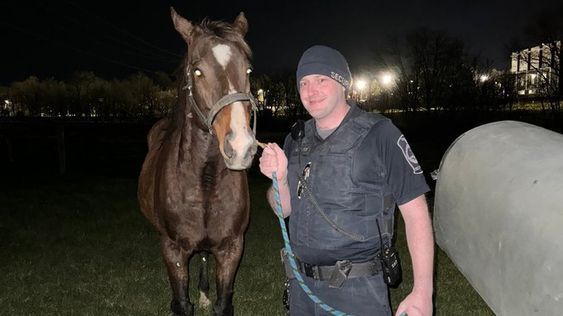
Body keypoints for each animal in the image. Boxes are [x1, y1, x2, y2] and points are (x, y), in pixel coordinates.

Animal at [139, 8, 258, 316]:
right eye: (197, 70)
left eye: (248, 70)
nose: (241, 147)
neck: (205, 181)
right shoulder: (173, 250)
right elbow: (182, 302)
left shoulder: (231, 249)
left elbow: (223, 302)